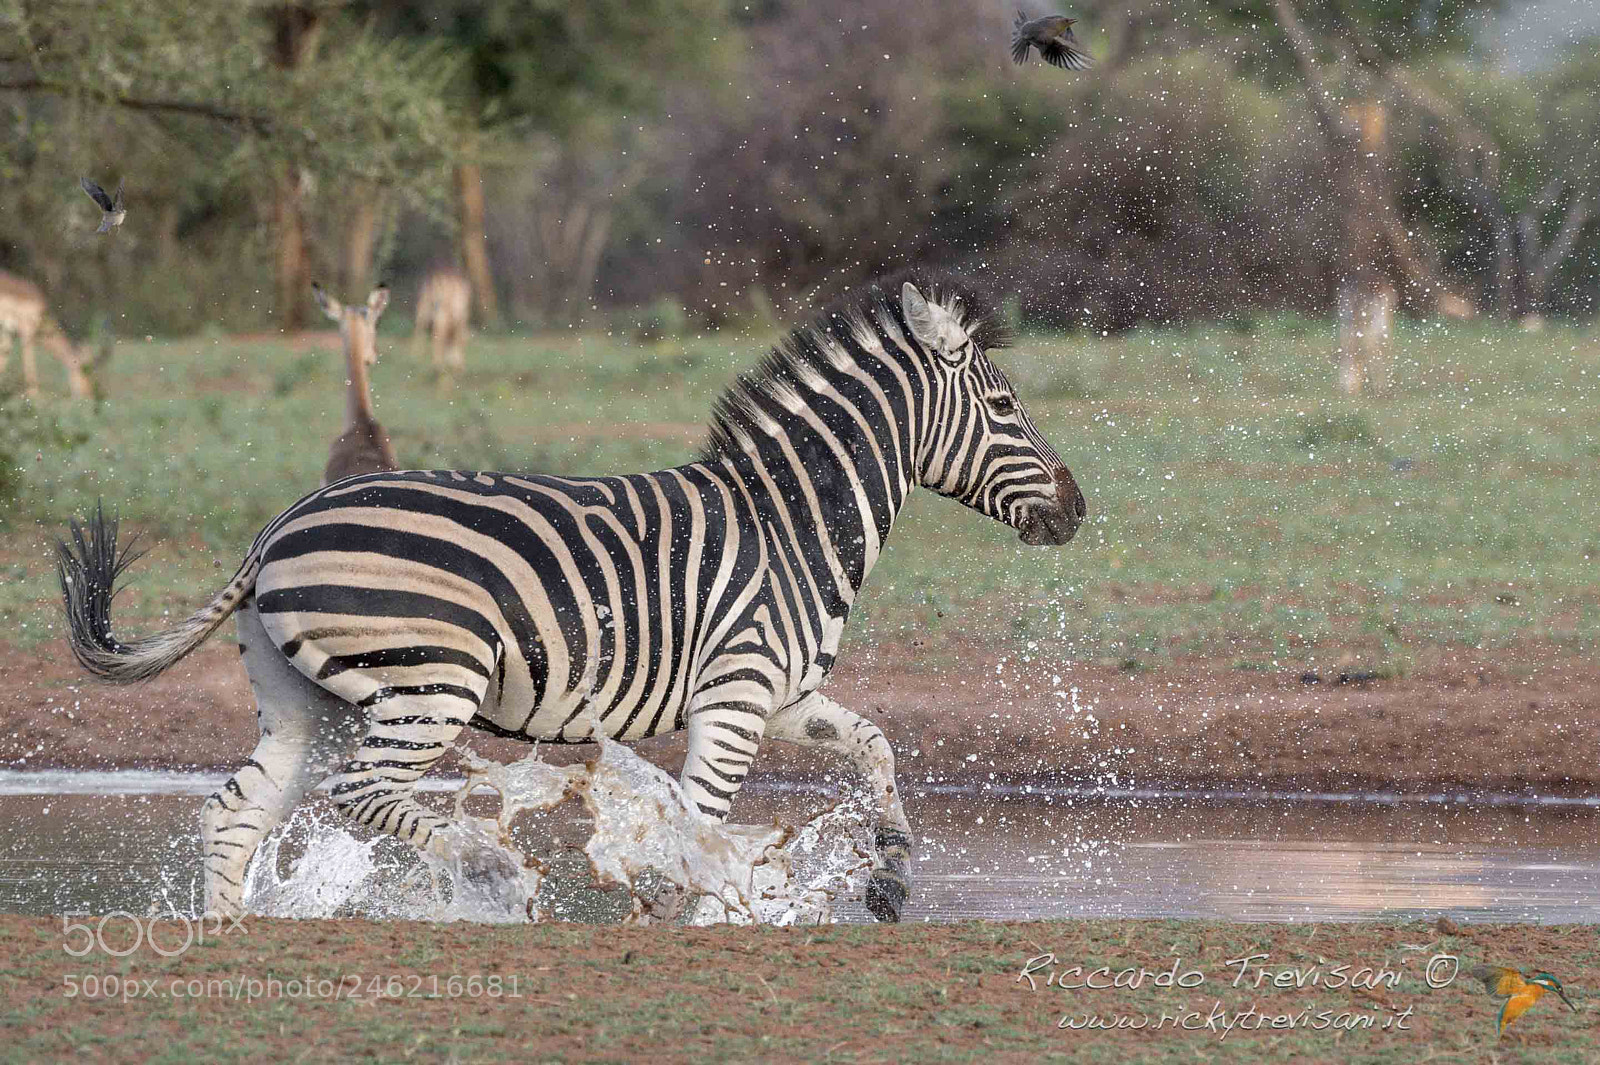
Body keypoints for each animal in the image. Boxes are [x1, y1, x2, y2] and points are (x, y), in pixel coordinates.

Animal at [56, 271, 1087, 922]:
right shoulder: (737, 693)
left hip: (307, 697)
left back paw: (236, 933)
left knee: (236, 812)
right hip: (429, 683)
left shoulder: (780, 691)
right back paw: (488, 869)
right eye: (1006, 409)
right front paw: (686, 911)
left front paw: (892, 880)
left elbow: (876, 743)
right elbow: (699, 824)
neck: (790, 523)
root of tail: (276, 526)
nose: (1079, 508)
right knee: (364, 793)